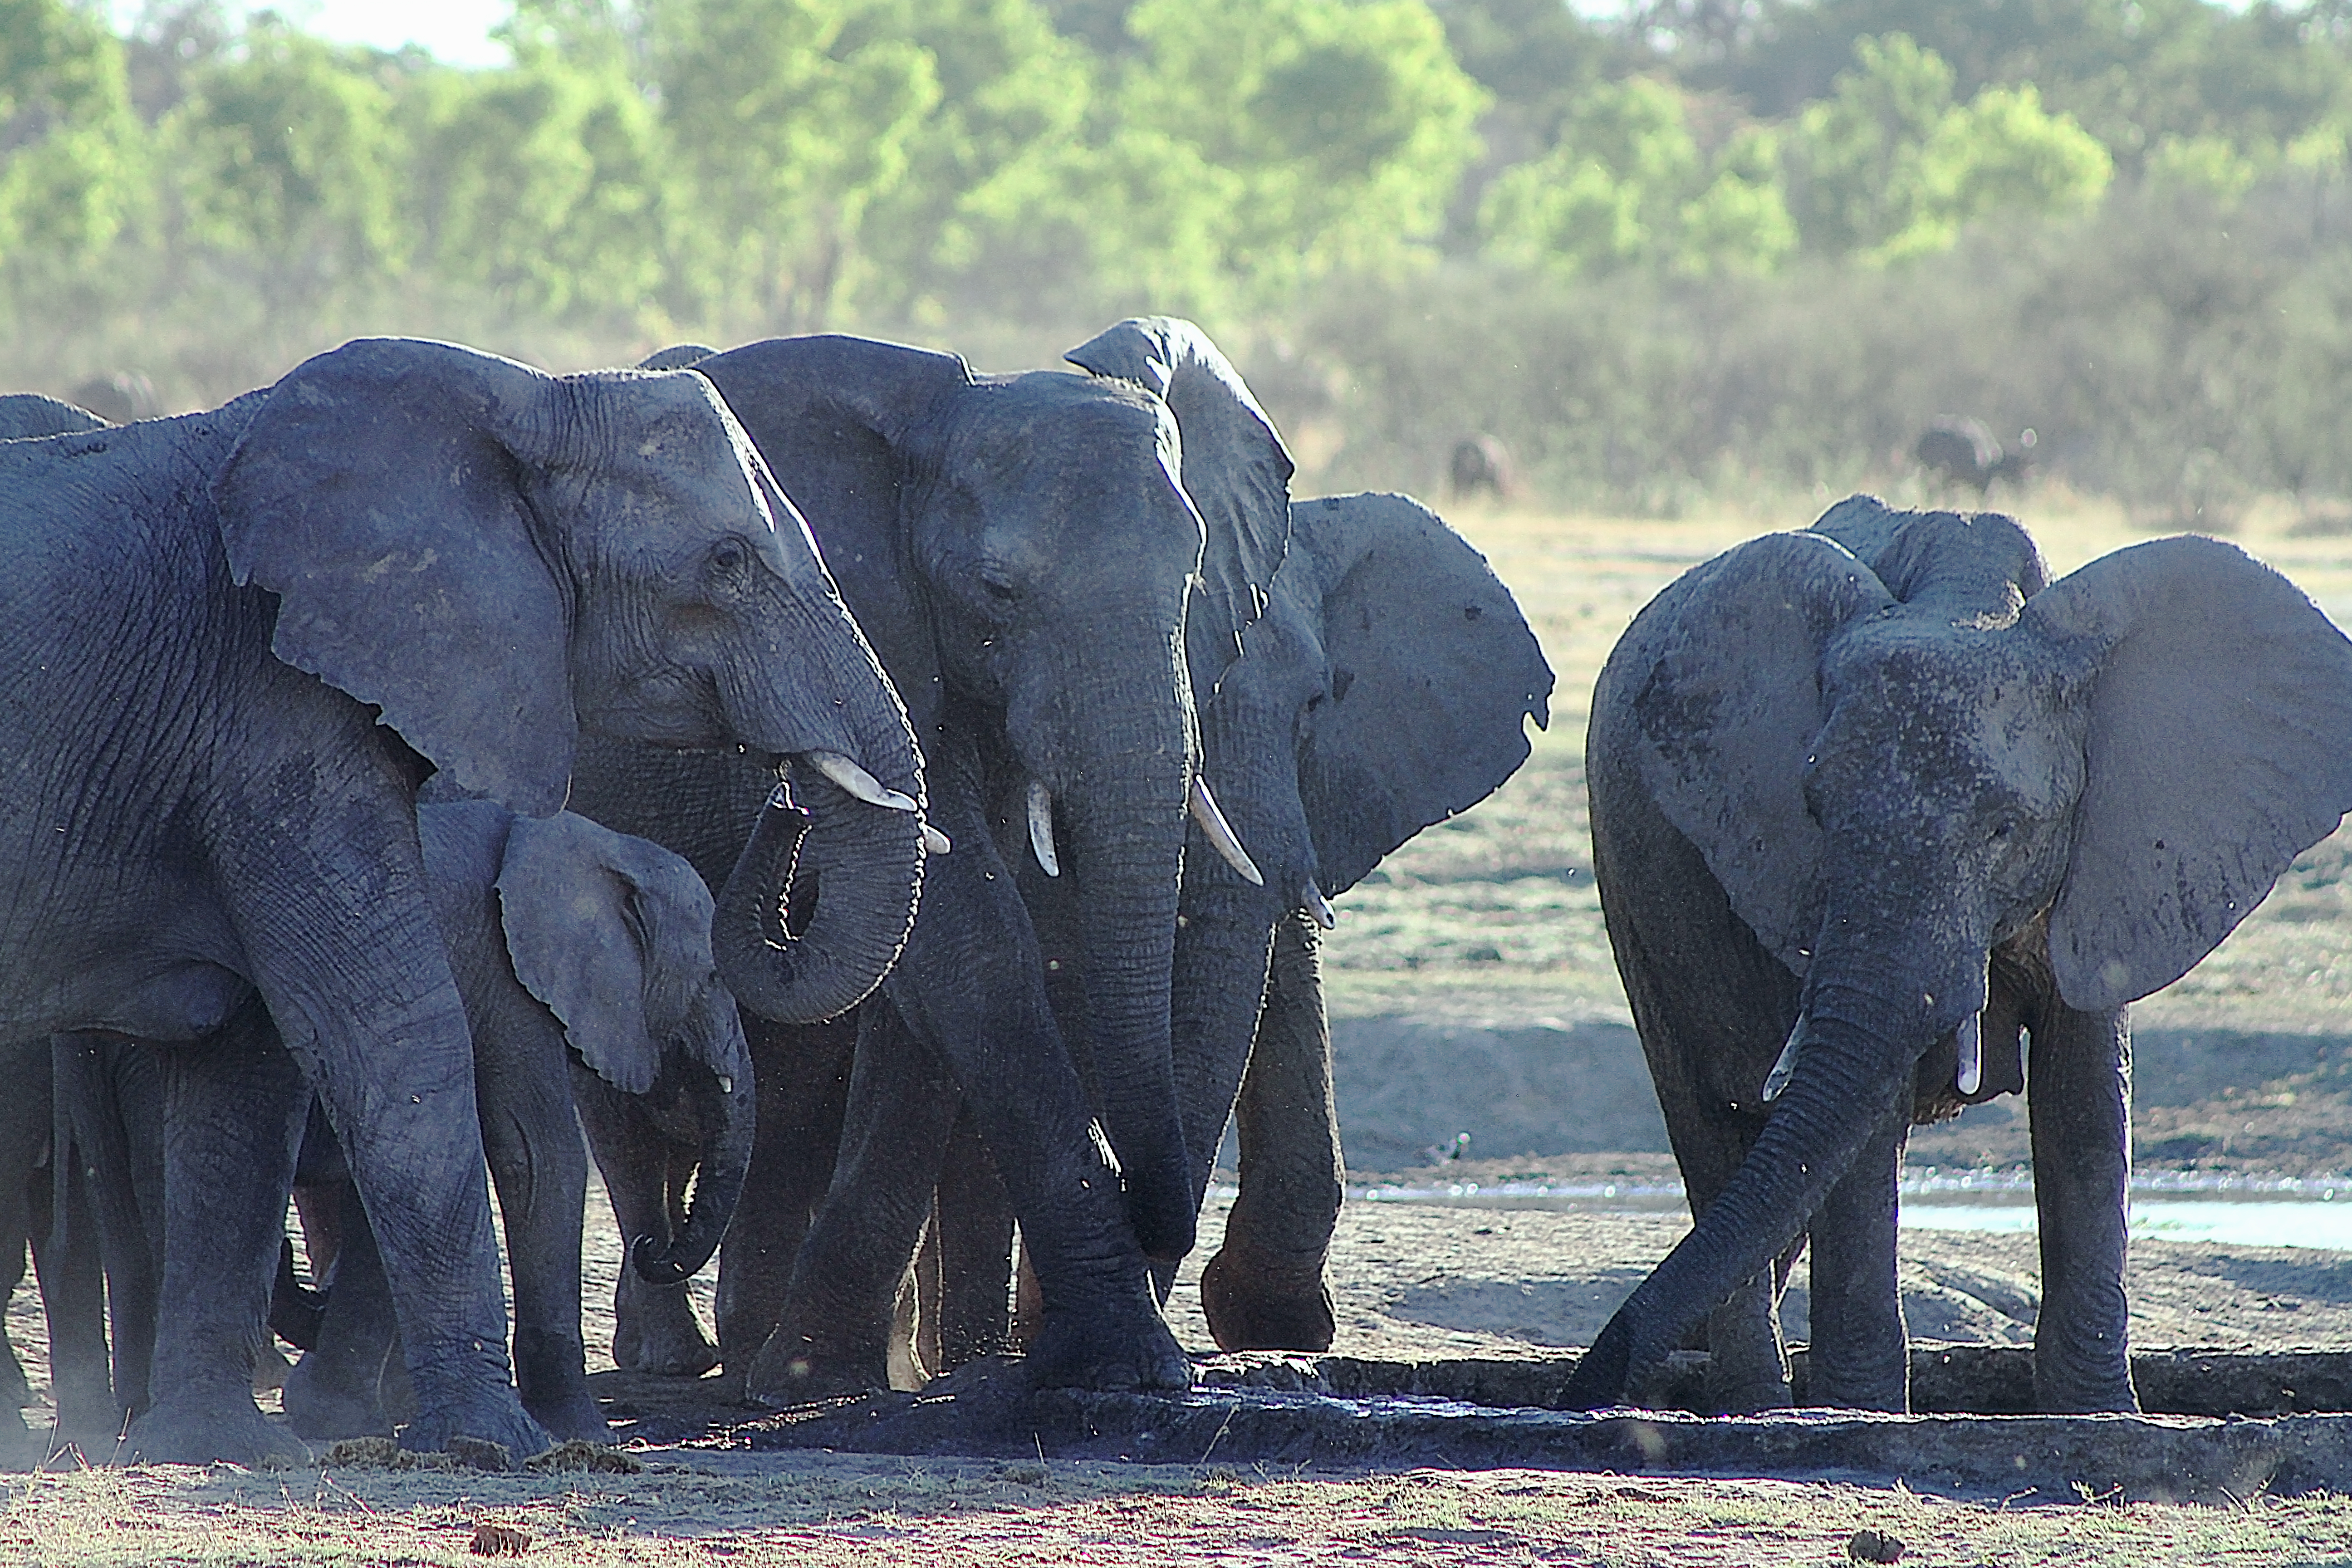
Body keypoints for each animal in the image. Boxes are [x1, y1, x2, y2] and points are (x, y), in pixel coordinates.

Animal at [0, 336, 927, 1464]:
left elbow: (246, 1081)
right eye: (725, 563)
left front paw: (221, 1447)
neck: (524, 394)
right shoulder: (266, 711)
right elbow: (404, 1044)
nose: (788, 805)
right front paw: (500, 1448)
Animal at [562, 319, 1295, 1397]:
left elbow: (931, 978)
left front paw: (821, 1378)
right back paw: (679, 1356)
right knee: (623, 1099)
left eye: (1194, 578)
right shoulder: (869, 630)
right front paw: (1129, 1366)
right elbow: (968, 939)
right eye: (999, 590)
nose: (785, 807)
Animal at [1564, 495, 2352, 1416]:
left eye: (2004, 828)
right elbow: (1859, 1124)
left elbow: (2087, 1102)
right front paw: (1860, 1414)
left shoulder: (2110, 850)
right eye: (1814, 809)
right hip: (1631, 889)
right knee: (1712, 1127)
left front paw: (2098, 1414)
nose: (1584, 1385)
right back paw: (1755, 1402)